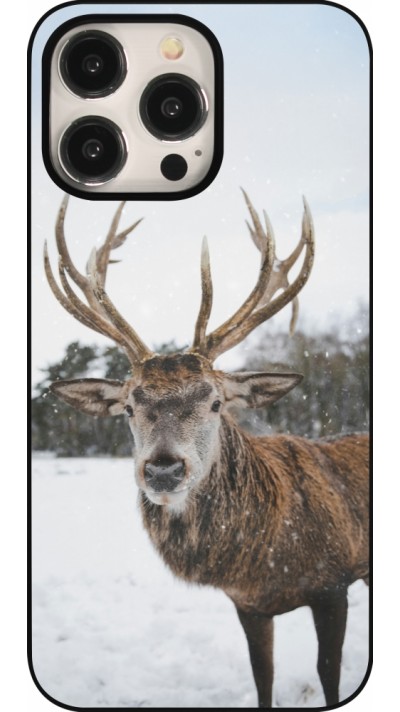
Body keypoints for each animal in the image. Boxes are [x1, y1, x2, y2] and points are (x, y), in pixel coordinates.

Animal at [43, 191, 369, 708]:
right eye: (129, 406)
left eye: (215, 402)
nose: (163, 470)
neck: (266, 558)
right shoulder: (248, 604)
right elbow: (263, 675)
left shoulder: (334, 581)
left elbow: (329, 673)